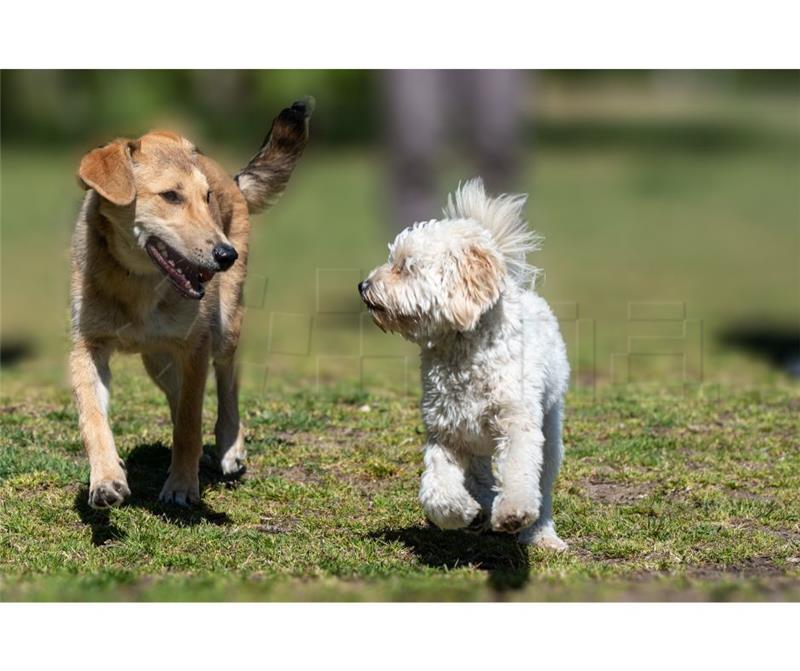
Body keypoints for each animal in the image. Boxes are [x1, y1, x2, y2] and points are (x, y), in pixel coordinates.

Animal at [70, 100, 312, 510]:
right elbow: (94, 419)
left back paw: (230, 447)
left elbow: (189, 424)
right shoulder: (87, 347)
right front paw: (105, 479)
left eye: (206, 197)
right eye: (170, 196)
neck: (137, 283)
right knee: (179, 394)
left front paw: (182, 486)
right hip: (158, 360)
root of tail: (231, 178)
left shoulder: (195, 345)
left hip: (226, 325)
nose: (226, 254)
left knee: (227, 378)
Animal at [360, 178, 572, 552]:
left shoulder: (517, 425)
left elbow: (519, 473)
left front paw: (513, 513)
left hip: (549, 427)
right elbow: (436, 491)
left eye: (405, 266)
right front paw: (464, 513)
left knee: (542, 484)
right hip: (475, 444)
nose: (363, 286)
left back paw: (541, 533)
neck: (463, 350)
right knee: (481, 477)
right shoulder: (447, 433)